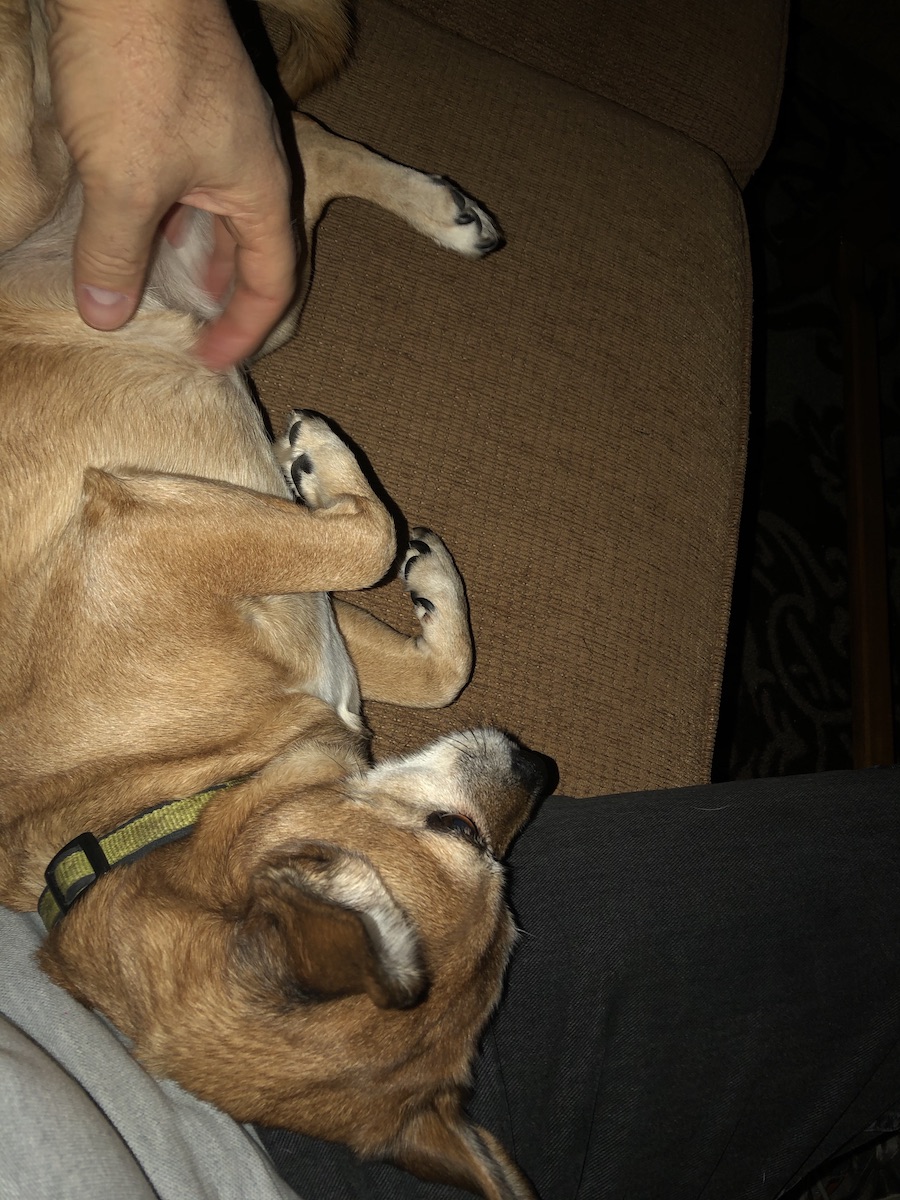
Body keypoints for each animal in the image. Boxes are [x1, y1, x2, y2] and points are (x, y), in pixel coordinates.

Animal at [0, 2, 556, 1200]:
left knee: (295, 145)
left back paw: (451, 213)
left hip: (255, 293)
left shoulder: (279, 597)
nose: (543, 768)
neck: (168, 792)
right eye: (461, 837)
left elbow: (432, 654)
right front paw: (327, 464)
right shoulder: (151, 537)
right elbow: (366, 538)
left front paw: (428, 582)